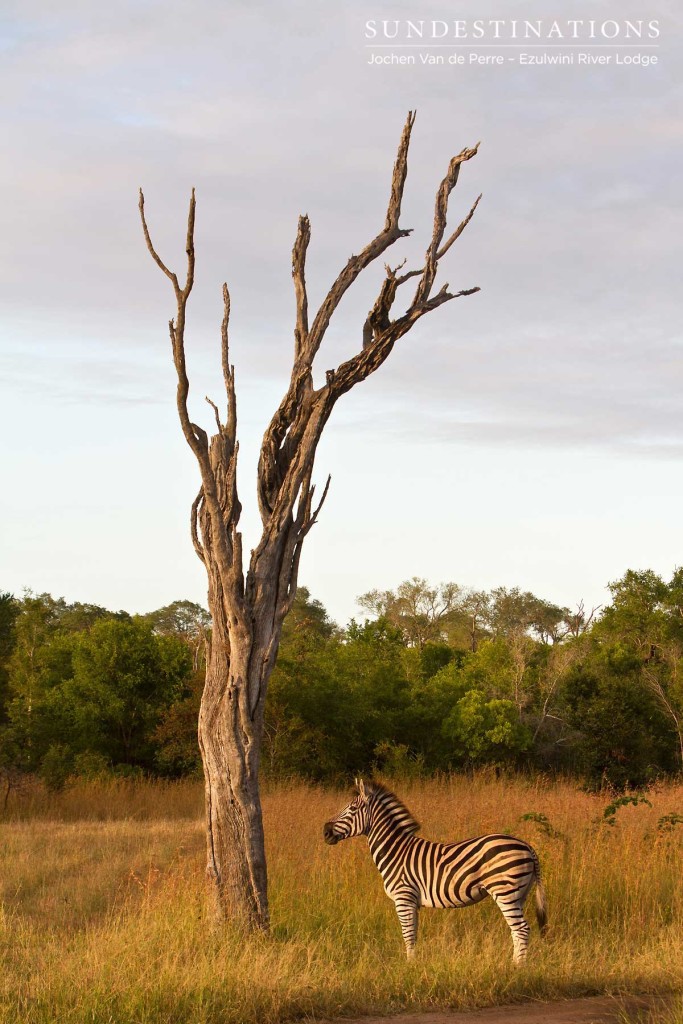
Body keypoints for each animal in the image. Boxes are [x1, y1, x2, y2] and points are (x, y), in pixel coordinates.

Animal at [323, 778, 548, 962]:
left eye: (352, 809)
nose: (325, 831)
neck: (396, 851)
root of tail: (527, 846)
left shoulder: (403, 897)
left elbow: (408, 935)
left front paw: (409, 967)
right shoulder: (412, 902)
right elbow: (414, 935)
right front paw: (414, 965)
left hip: (505, 891)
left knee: (522, 930)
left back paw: (516, 968)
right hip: (519, 894)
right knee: (517, 931)